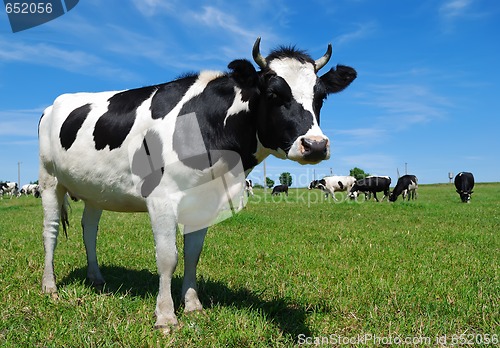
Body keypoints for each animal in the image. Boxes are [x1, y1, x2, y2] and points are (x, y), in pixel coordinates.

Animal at [39, 38, 358, 332]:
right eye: (273, 93)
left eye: (321, 97)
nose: (315, 145)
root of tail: (54, 103)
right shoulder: (161, 198)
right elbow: (168, 257)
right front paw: (166, 316)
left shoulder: (204, 201)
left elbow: (192, 254)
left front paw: (193, 305)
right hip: (49, 180)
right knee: (50, 231)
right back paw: (50, 286)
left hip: (96, 190)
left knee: (89, 230)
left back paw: (96, 277)